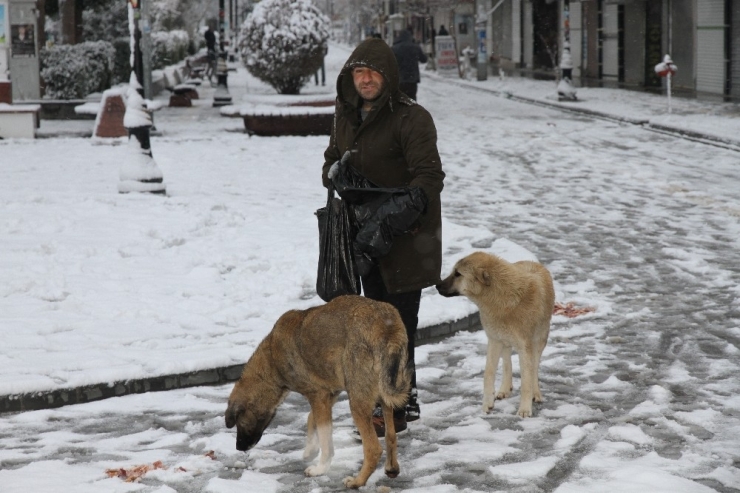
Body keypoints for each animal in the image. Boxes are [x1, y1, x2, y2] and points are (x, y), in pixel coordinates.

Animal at [223, 294, 414, 486]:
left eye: (238, 421)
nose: (238, 447)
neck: (271, 360)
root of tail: (385, 325)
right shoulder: (328, 394)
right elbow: (310, 418)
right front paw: (310, 451)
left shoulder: (317, 395)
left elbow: (325, 439)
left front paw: (319, 469)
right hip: (385, 395)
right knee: (391, 435)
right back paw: (391, 468)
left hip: (358, 402)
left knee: (373, 448)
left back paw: (357, 481)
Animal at [436, 252, 552, 418]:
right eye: (454, 271)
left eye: (458, 274)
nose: (436, 285)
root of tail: (532, 262)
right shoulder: (494, 340)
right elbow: (488, 374)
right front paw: (488, 404)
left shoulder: (526, 347)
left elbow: (527, 380)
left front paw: (524, 409)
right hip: (504, 341)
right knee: (507, 362)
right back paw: (504, 389)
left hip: (540, 340)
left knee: (534, 367)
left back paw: (536, 393)